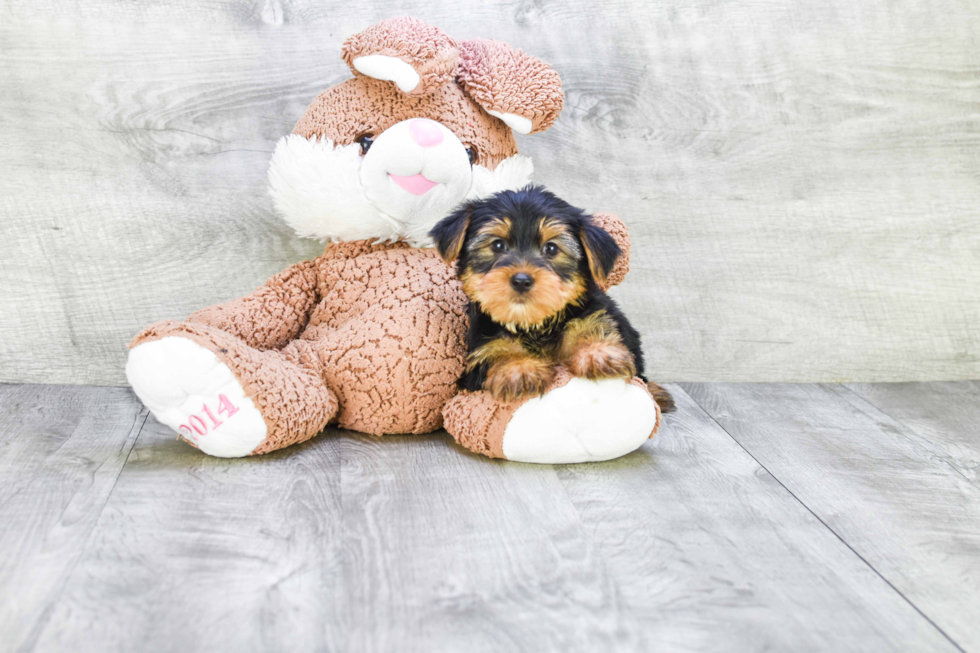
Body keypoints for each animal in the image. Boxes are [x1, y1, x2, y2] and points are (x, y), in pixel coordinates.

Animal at [428, 183, 672, 410]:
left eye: (552, 249)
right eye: (497, 245)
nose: (521, 280)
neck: (535, 324)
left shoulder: (590, 310)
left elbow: (590, 326)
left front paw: (597, 353)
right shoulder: (482, 343)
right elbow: (498, 348)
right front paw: (519, 368)